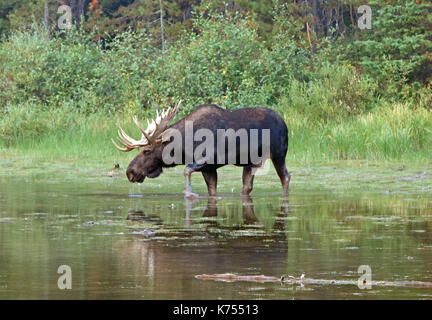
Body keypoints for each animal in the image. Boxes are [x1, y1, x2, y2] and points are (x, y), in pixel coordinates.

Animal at [113, 102, 292, 198]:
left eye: (147, 150)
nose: (130, 172)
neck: (183, 148)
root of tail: (285, 124)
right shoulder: (209, 169)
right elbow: (211, 190)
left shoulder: (212, 158)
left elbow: (186, 170)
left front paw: (189, 193)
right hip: (251, 162)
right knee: (247, 186)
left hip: (279, 154)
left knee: (285, 177)